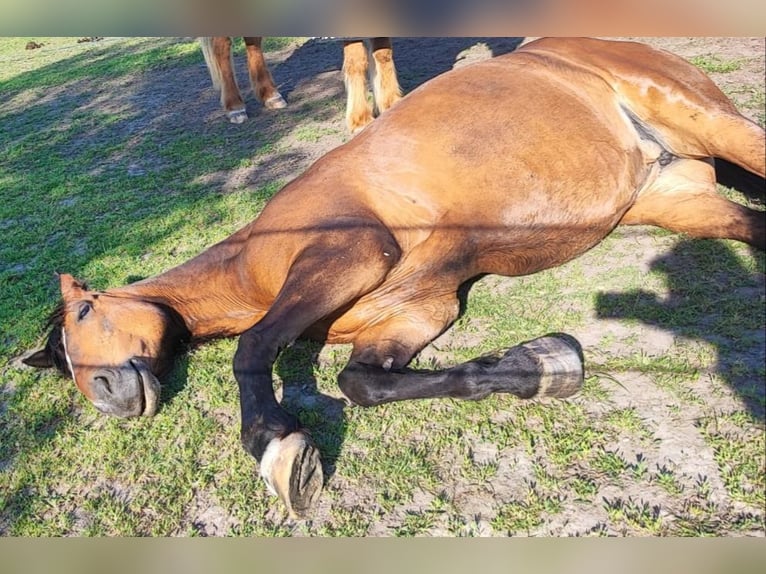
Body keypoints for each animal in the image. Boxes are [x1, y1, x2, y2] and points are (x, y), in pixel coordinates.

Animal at [199, 37, 402, 132]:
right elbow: (358, 61)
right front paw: (360, 120)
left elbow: (383, 54)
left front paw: (391, 105)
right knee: (222, 46)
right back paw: (235, 106)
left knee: (252, 42)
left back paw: (270, 95)